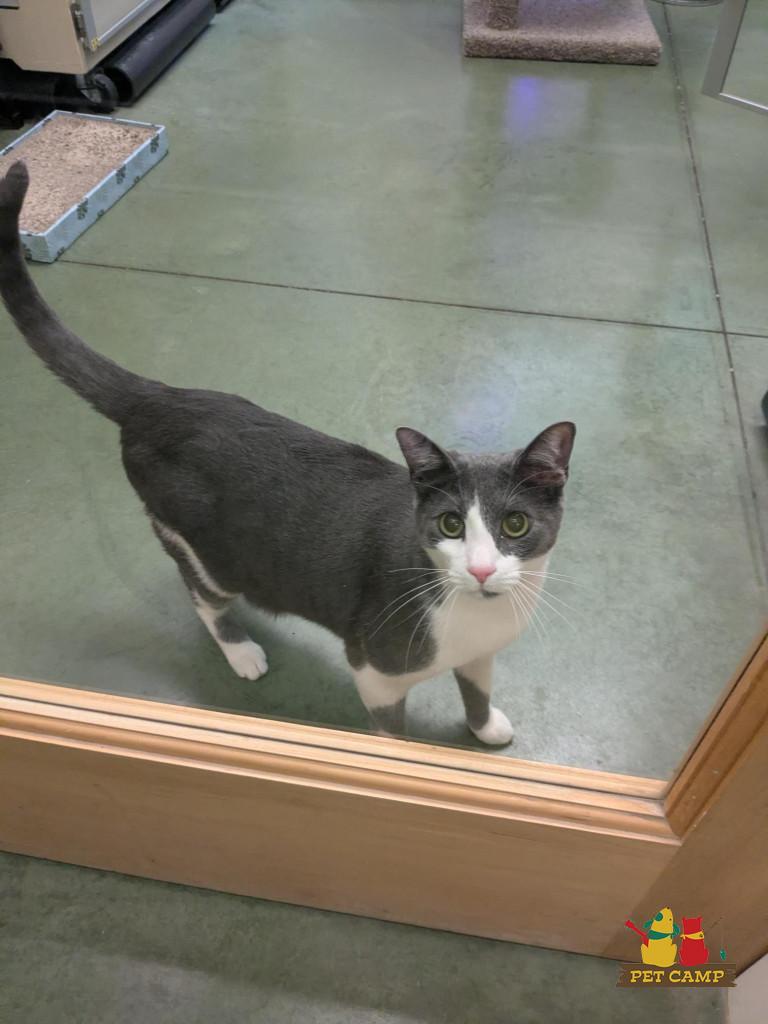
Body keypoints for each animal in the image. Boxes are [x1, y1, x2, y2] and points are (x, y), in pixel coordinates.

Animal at [0, 161, 575, 746]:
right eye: (451, 525)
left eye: (515, 525)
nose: (481, 570)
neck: (476, 616)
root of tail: (158, 399)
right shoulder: (375, 669)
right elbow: (392, 735)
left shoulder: (479, 654)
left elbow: (475, 688)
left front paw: (486, 727)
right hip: (204, 550)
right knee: (200, 594)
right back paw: (241, 651)